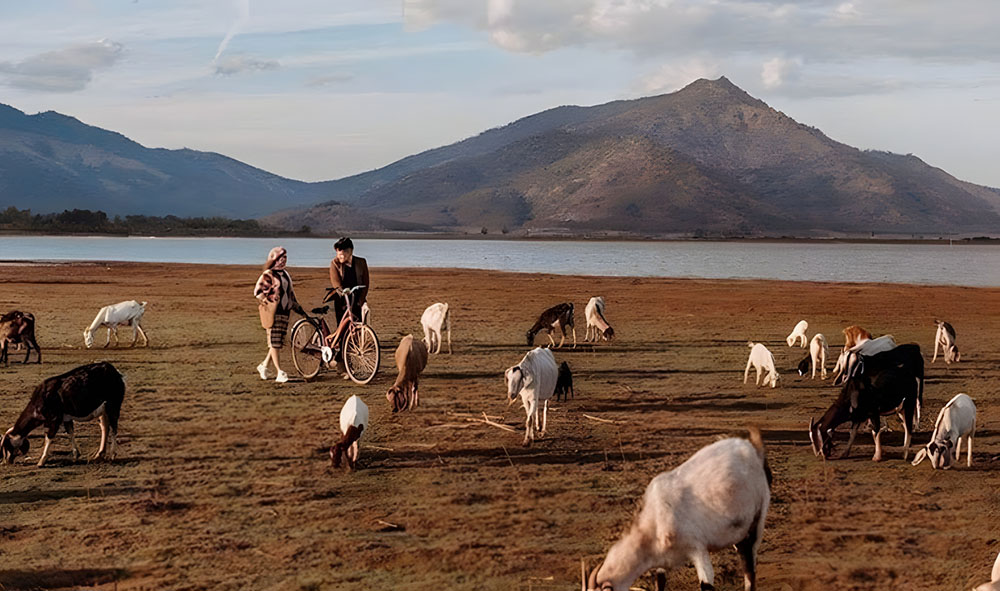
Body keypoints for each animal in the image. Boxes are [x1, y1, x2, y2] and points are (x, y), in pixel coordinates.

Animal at [584, 428, 768, 591]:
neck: (652, 523)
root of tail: (751, 447)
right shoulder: (662, 560)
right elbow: (660, 581)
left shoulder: (697, 548)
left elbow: (706, 585)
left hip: (757, 519)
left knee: (749, 567)